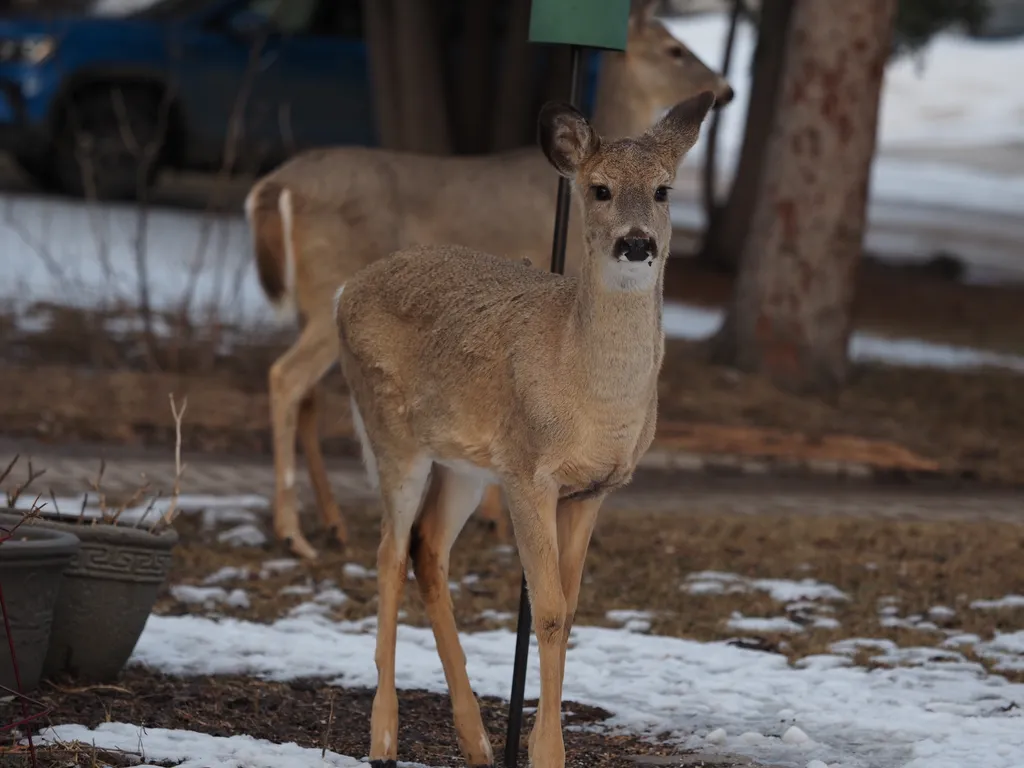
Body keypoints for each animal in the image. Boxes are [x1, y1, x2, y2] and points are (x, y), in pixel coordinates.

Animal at [243, 1, 733, 565]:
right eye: (675, 48)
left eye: (662, 190)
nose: (726, 89)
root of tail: (270, 186)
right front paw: (497, 519)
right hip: (329, 295)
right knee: (286, 378)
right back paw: (292, 532)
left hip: (312, 305)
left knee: (307, 396)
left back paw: (330, 523)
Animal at [331, 88, 716, 765]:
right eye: (599, 189)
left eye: (664, 190)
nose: (636, 243)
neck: (591, 395)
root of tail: (345, 290)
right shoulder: (527, 473)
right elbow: (550, 610)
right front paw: (547, 753)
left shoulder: (593, 489)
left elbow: (569, 608)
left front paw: (535, 746)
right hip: (392, 433)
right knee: (387, 553)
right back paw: (384, 736)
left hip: (462, 461)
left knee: (427, 548)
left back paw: (477, 740)